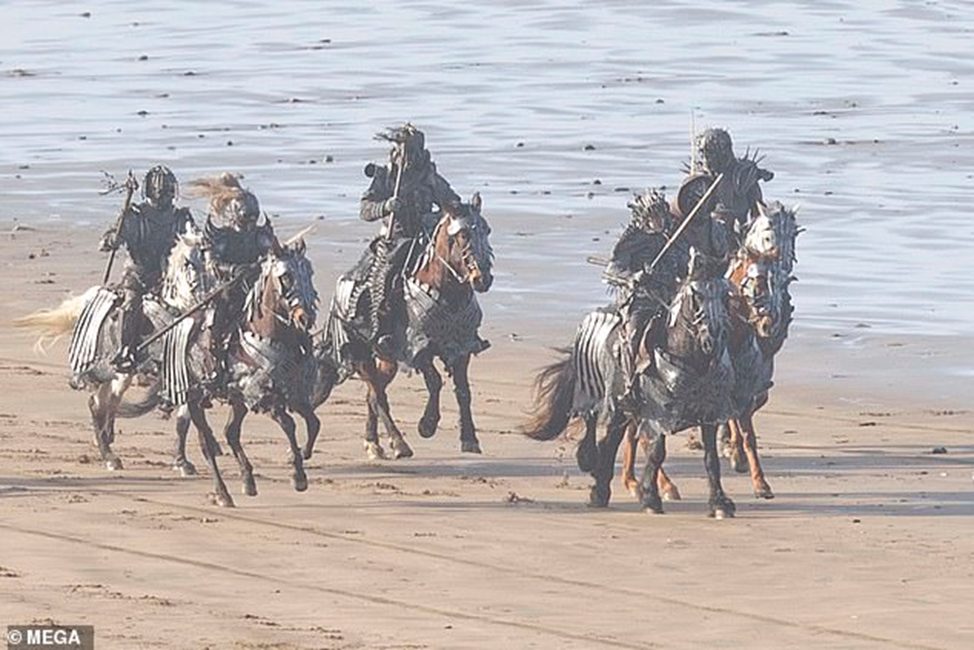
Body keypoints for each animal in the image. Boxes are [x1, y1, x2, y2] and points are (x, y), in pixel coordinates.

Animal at [324, 193, 494, 460]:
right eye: (463, 235)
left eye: (486, 230)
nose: (483, 278)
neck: (447, 292)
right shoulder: (417, 347)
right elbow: (434, 381)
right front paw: (427, 425)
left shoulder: (462, 348)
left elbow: (463, 391)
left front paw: (470, 440)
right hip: (361, 355)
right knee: (377, 395)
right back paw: (398, 443)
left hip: (387, 360)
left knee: (373, 394)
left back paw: (374, 443)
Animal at [524, 249, 738, 518]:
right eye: (696, 295)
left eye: (725, 294)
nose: (713, 340)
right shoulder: (657, 414)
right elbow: (656, 453)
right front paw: (650, 498)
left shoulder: (709, 413)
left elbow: (711, 459)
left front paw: (720, 503)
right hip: (604, 398)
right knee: (596, 427)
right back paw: (592, 471)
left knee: (610, 440)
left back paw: (600, 488)